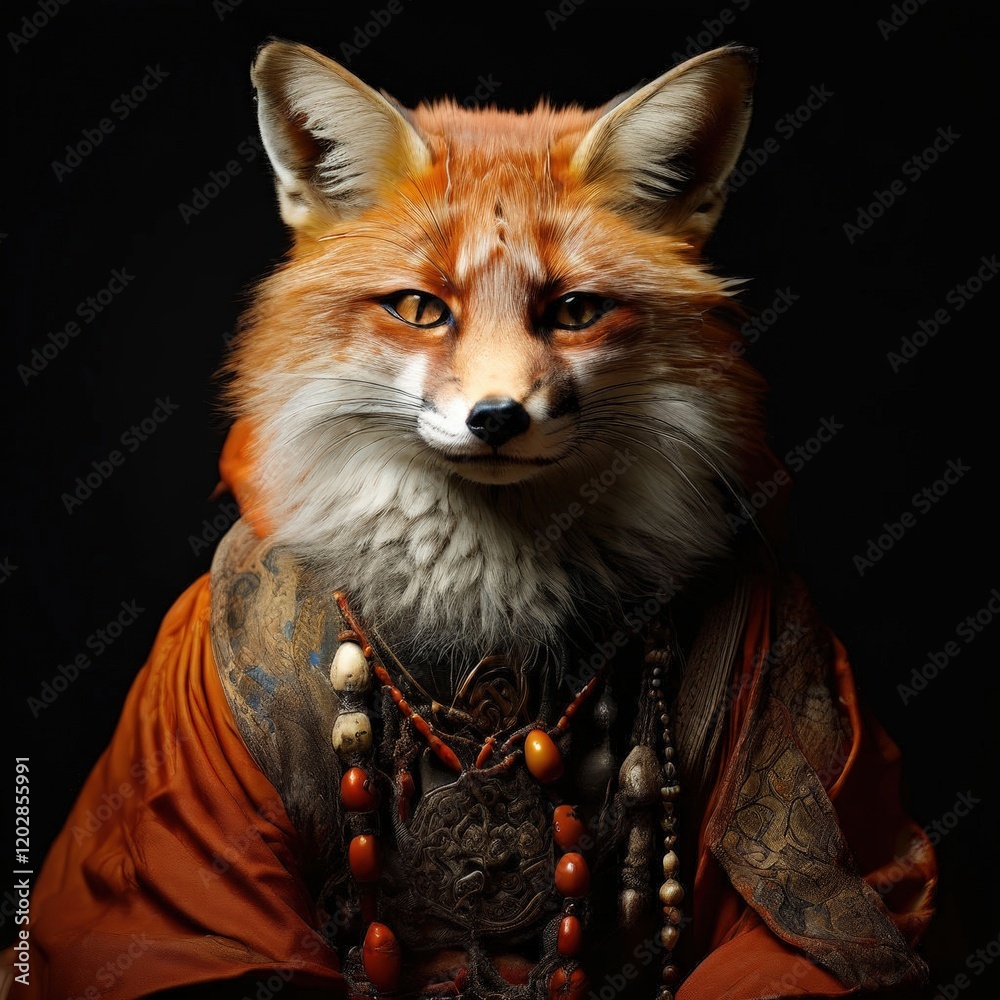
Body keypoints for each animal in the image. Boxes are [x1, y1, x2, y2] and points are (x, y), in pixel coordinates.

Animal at [7, 39, 935, 1000]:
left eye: (573, 311)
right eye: (420, 308)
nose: (497, 417)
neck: (490, 608)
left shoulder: (790, 685)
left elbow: (811, 928)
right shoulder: (191, 813)